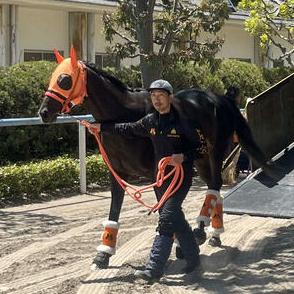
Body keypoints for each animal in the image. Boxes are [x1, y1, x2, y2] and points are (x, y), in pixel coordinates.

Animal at [38, 48, 274, 268]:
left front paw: (179, 245)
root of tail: (222, 98)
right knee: (213, 189)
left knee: (214, 186)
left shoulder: (159, 172)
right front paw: (103, 253)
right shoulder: (118, 173)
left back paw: (201, 229)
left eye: (65, 80)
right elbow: (115, 209)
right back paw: (214, 233)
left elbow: (165, 207)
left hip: (214, 153)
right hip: (199, 159)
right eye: (52, 77)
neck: (124, 117)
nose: (44, 112)